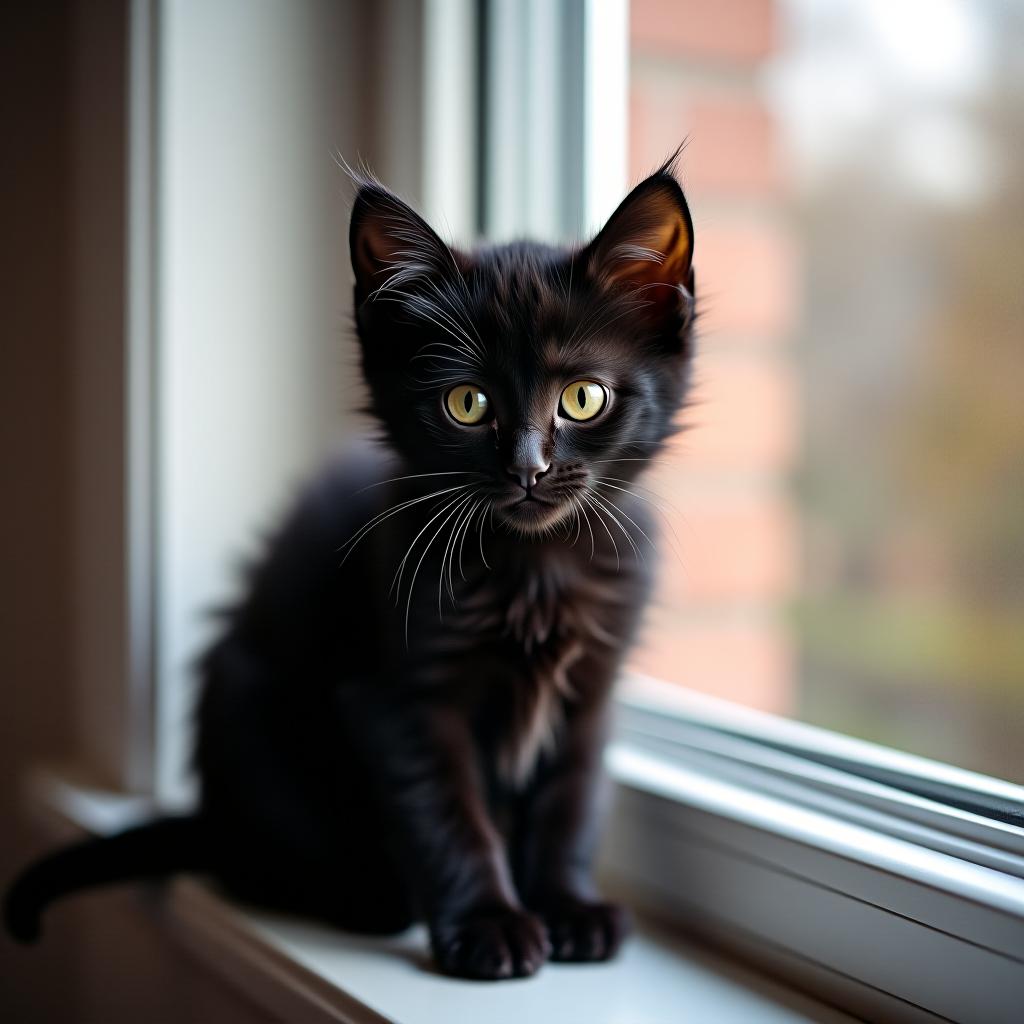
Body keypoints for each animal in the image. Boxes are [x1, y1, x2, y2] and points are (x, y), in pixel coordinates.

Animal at [6, 157, 696, 974]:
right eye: (467, 403)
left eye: (583, 398)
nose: (528, 469)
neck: (534, 565)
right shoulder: (396, 696)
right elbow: (446, 814)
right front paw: (490, 924)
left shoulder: (591, 690)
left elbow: (572, 801)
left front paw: (566, 907)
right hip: (252, 716)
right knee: (255, 864)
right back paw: (370, 897)